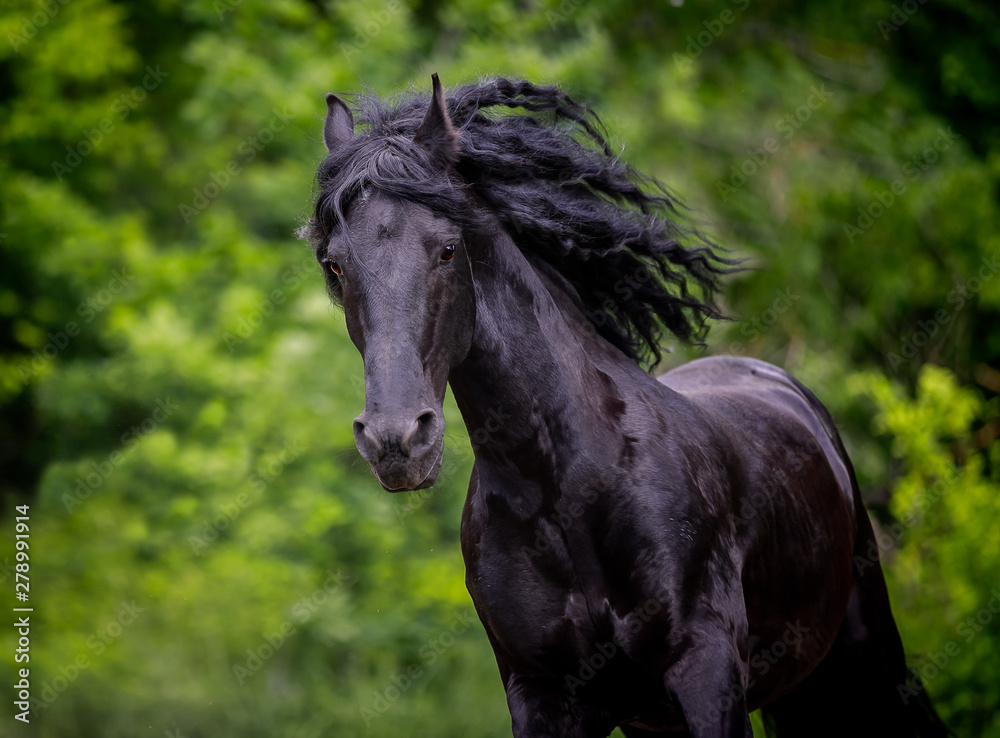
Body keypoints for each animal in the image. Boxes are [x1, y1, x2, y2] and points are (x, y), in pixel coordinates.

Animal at [302, 75, 944, 736]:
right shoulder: (543, 694)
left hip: (864, 661)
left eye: (448, 249)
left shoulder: (706, 671)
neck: (563, 489)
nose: (397, 441)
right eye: (335, 264)